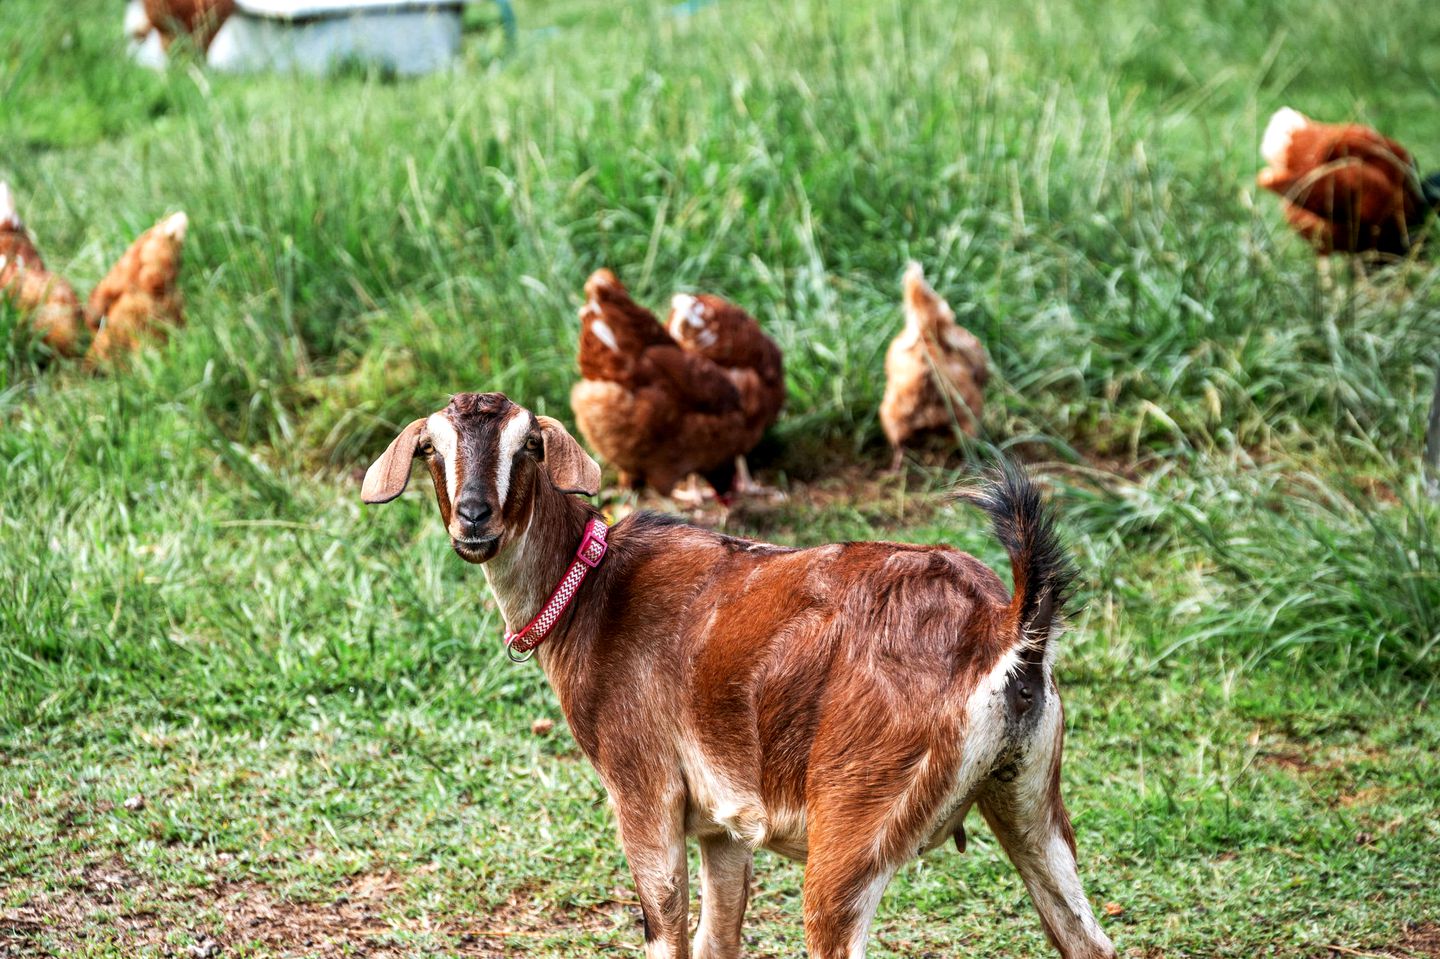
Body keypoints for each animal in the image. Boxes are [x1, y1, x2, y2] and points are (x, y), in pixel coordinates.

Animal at [357, 391, 1111, 956]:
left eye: (528, 447)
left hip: (857, 821)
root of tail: (1003, 627)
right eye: (432, 448)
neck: (592, 592)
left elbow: (666, 929)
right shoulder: (723, 821)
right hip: (1030, 798)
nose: (474, 518)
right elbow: (718, 937)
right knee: (1086, 937)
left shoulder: (643, 787)